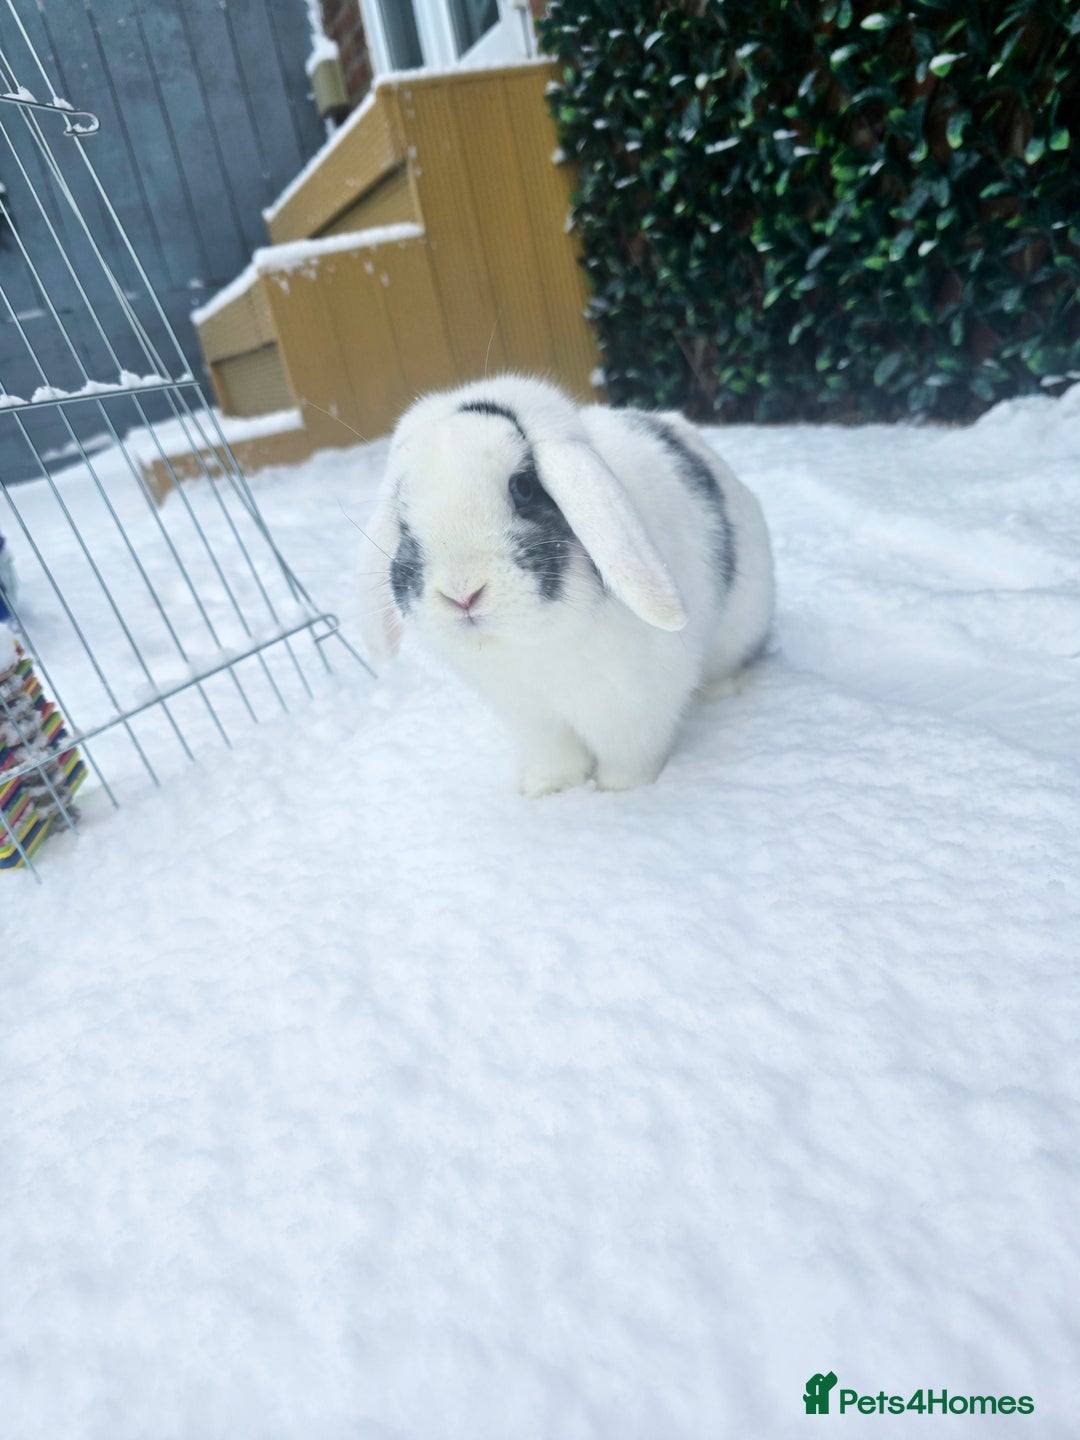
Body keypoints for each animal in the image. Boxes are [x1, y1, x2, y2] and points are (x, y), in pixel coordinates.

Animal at [357, 374, 774, 796]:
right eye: (402, 519)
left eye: (523, 487)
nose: (462, 592)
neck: (534, 644)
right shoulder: (533, 718)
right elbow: (556, 757)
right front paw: (546, 791)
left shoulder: (632, 707)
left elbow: (630, 756)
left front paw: (620, 790)